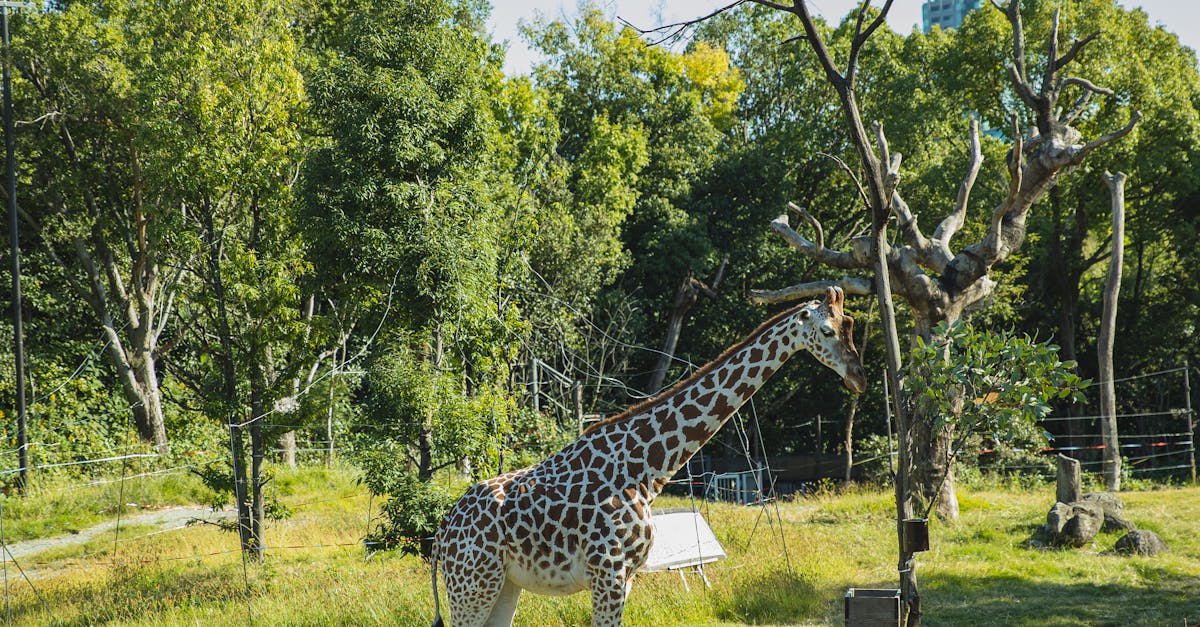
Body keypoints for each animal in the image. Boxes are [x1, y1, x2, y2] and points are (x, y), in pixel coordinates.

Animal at [429, 285, 864, 619]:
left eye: (850, 327)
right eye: (827, 330)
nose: (858, 377)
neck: (648, 469)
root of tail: (443, 530)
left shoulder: (627, 577)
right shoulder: (608, 573)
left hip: (503, 585)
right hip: (472, 584)